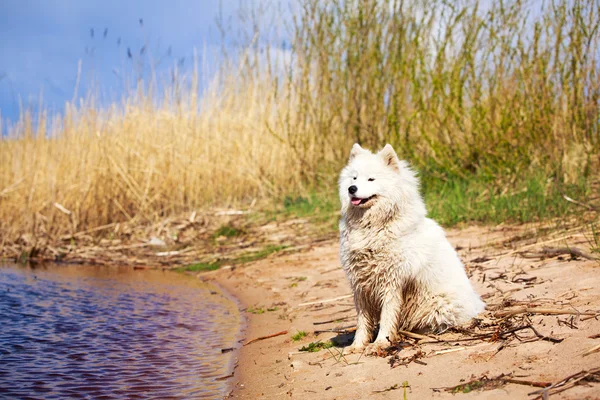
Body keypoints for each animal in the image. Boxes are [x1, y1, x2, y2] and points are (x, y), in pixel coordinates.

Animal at [340, 145, 486, 352]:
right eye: (354, 178)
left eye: (371, 179)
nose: (351, 189)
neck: (373, 227)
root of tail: (476, 304)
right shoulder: (361, 286)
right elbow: (363, 321)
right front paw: (357, 345)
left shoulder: (391, 282)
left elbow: (387, 316)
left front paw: (381, 342)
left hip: (436, 304)